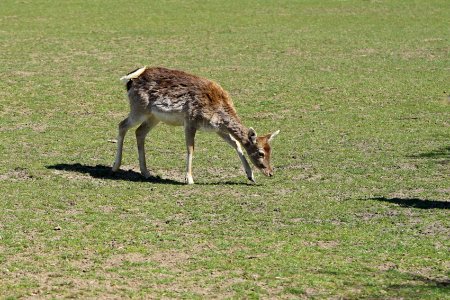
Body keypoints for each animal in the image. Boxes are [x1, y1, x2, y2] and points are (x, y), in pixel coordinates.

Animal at [112, 66, 278, 184]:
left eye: (270, 150)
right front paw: (189, 179)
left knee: (139, 132)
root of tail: (129, 80)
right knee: (122, 125)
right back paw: (115, 166)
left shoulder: (217, 129)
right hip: (138, 109)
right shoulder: (190, 121)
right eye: (261, 153)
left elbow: (236, 143)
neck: (218, 109)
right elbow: (190, 148)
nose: (270, 173)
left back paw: (146, 172)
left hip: (153, 117)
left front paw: (250, 176)